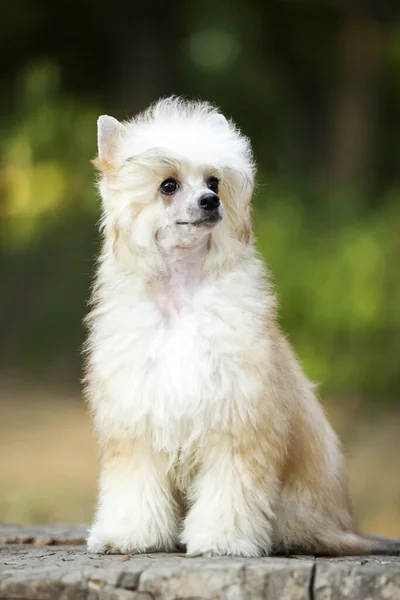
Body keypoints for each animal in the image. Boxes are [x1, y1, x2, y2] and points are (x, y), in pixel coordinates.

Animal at [85, 96, 400, 556]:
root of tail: (343, 527)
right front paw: (128, 535)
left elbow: (229, 492)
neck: (183, 292)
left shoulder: (237, 422)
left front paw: (221, 540)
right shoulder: (137, 422)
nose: (210, 201)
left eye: (214, 182)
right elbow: (135, 487)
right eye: (168, 185)